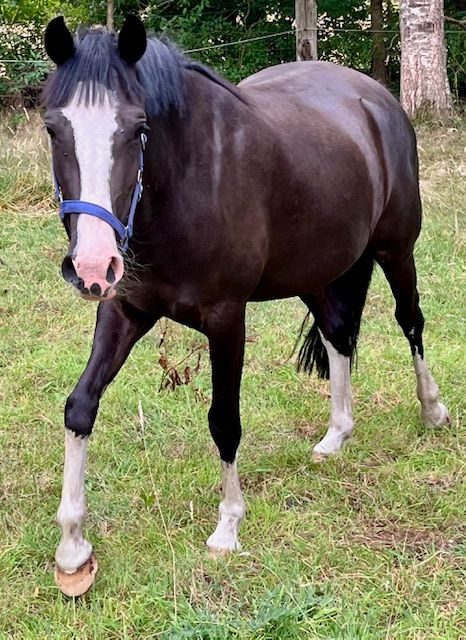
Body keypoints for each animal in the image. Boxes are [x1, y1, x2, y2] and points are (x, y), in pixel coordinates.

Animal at [43, 15, 450, 596]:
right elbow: (80, 406)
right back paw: (336, 434)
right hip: (315, 268)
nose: (93, 267)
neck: (186, 182)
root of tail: (377, 98)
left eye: (139, 129)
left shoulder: (226, 319)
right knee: (338, 332)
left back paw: (432, 409)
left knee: (410, 321)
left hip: (396, 250)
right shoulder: (125, 311)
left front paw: (228, 527)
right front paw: (73, 549)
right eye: (55, 129)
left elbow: (224, 421)